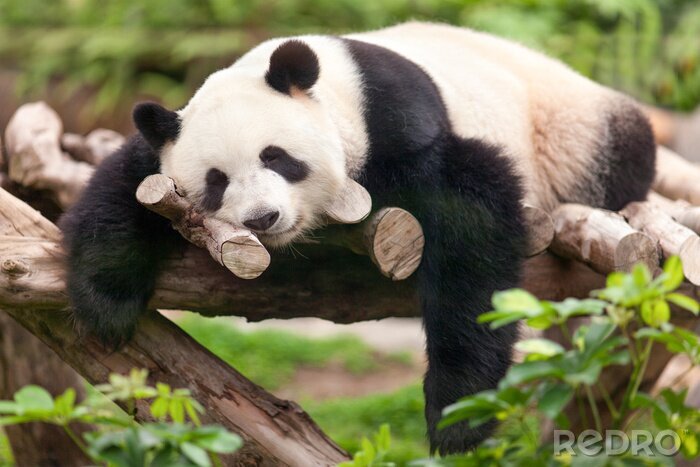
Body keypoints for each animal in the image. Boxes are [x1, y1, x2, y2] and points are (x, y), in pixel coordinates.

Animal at [60, 22, 656, 454]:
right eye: (215, 181)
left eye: (276, 157)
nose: (263, 218)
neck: (338, 89)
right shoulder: (166, 141)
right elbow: (125, 183)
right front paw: (107, 304)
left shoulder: (399, 124)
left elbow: (472, 222)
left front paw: (456, 416)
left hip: (572, 131)